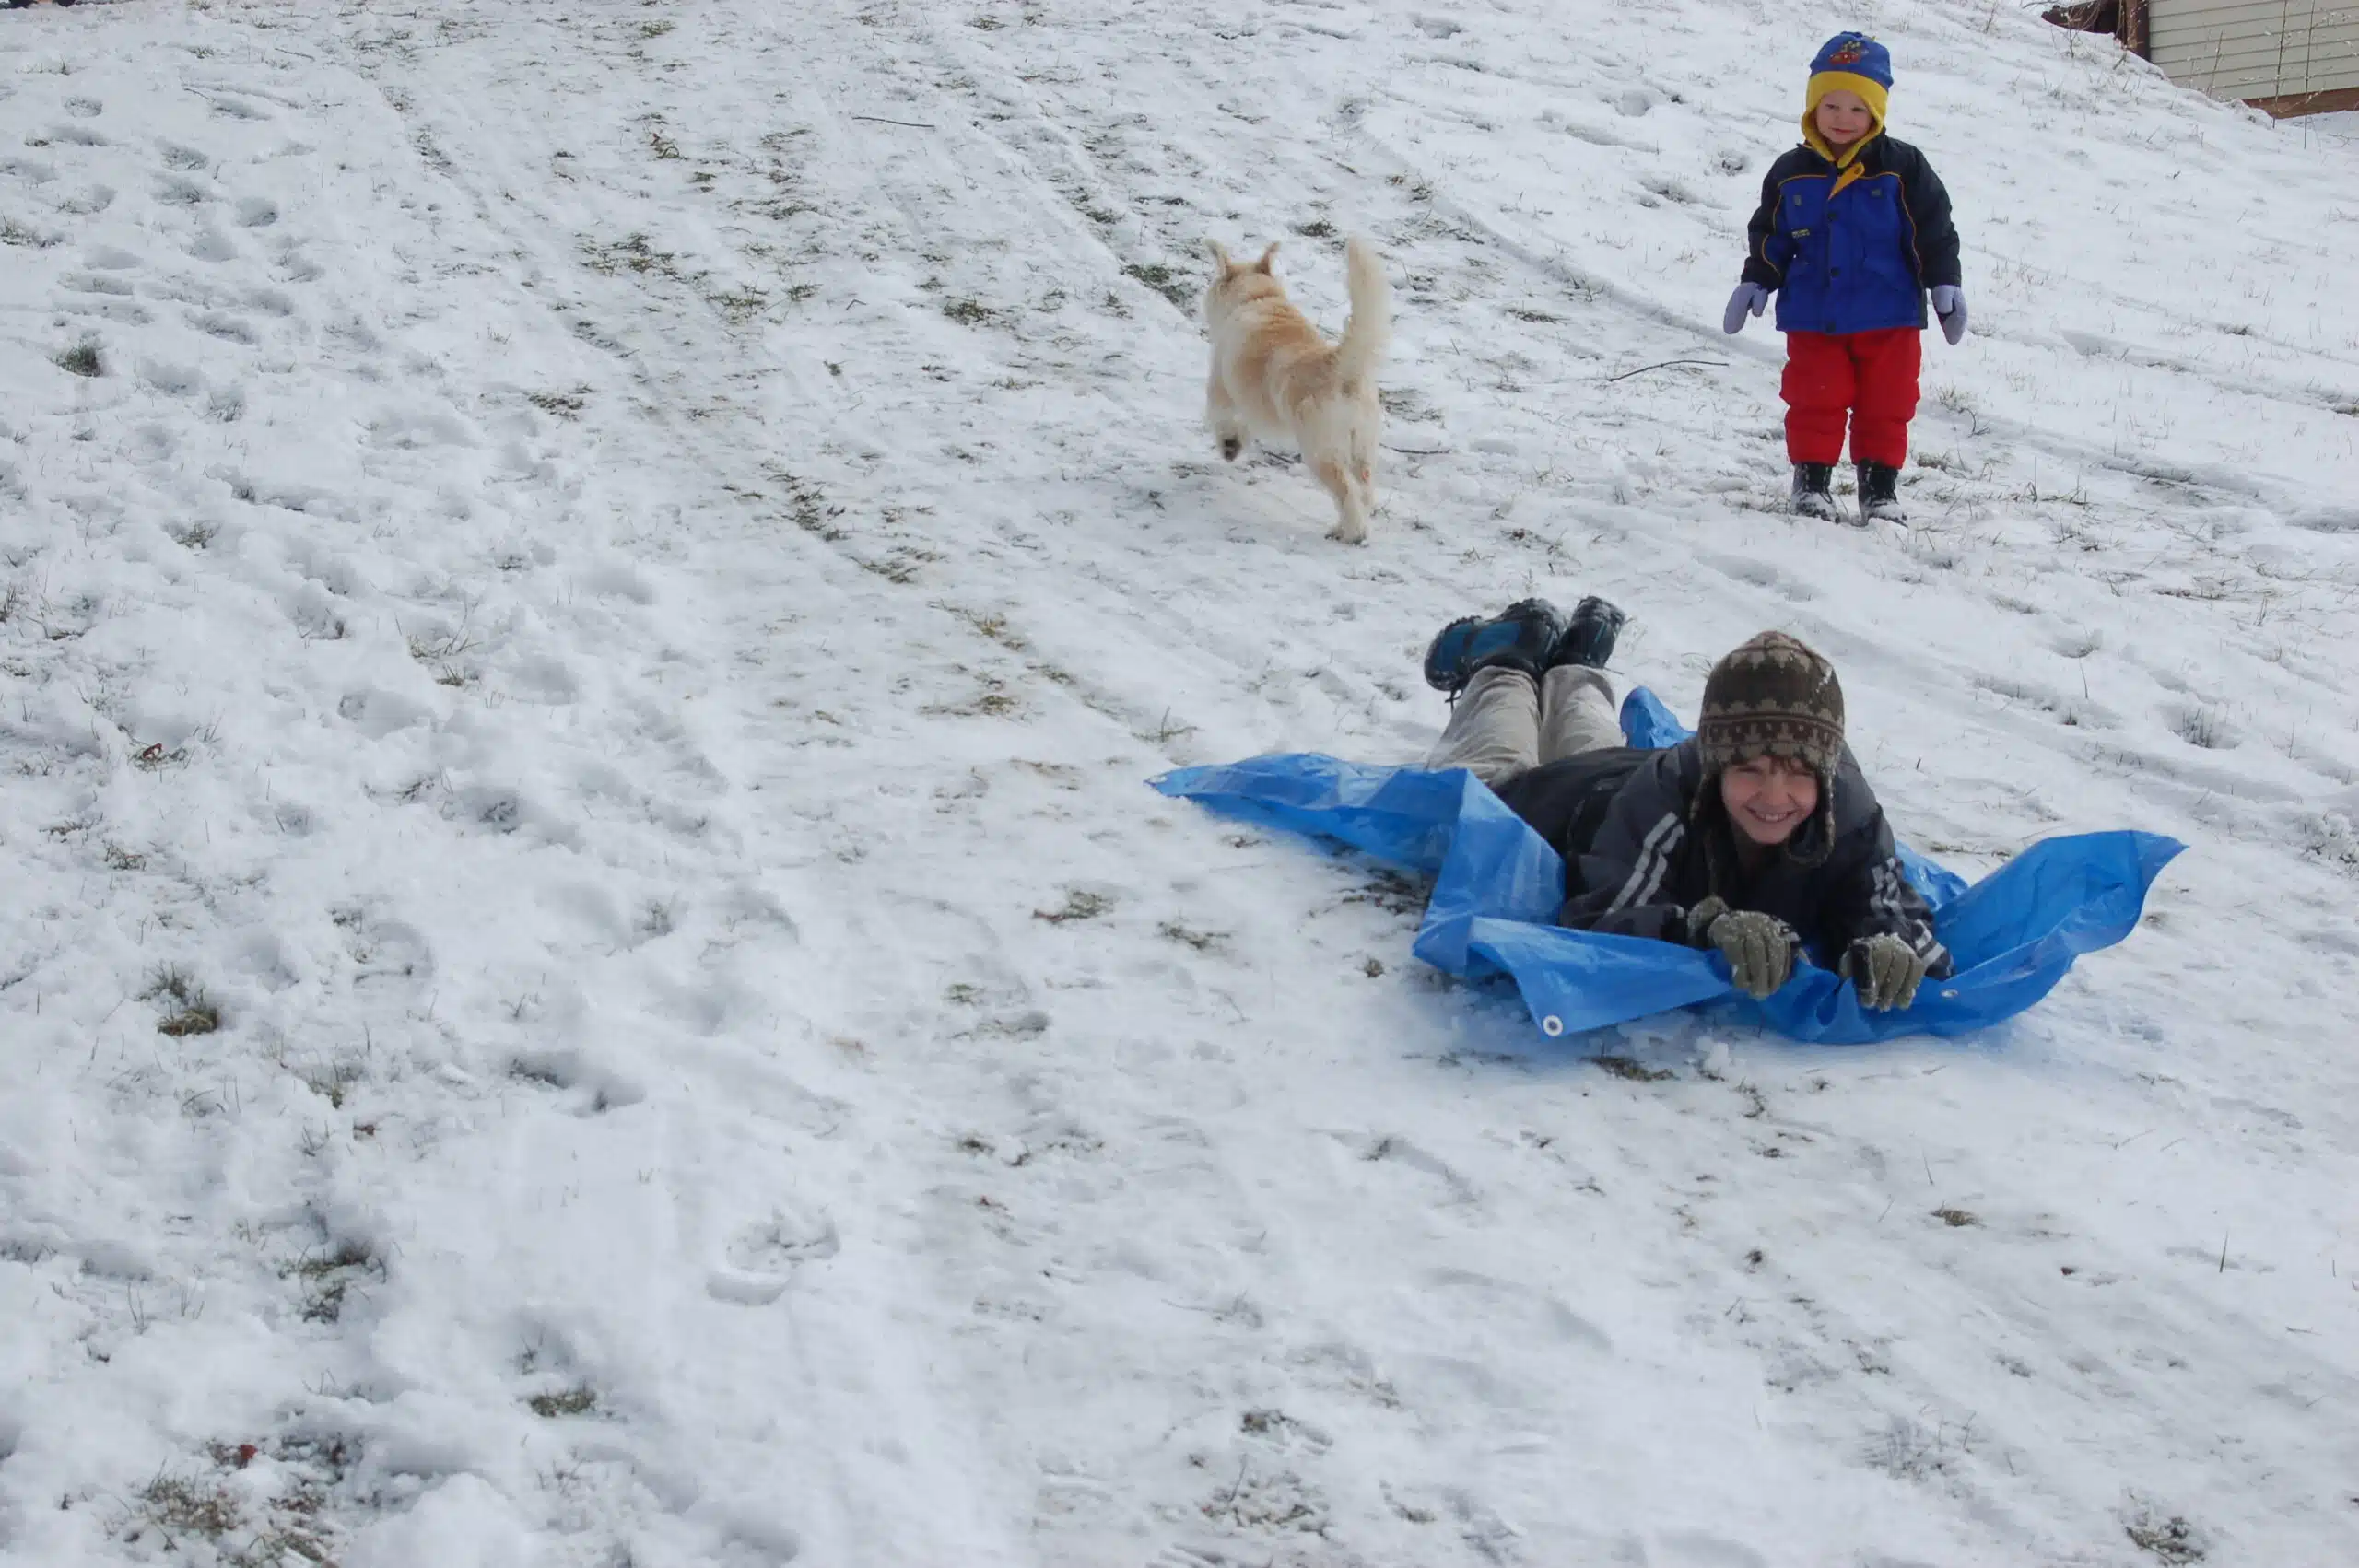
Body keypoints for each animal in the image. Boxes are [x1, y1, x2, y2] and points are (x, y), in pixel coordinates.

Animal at [1207, 233, 1387, 544]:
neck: (1259, 298)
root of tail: (1340, 369)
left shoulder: (1222, 386)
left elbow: (1223, 418)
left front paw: (1230, 445)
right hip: (1363, 449)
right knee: (1364, 492)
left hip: (1321, 452)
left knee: (1347, 493)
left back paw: (1351, 533)